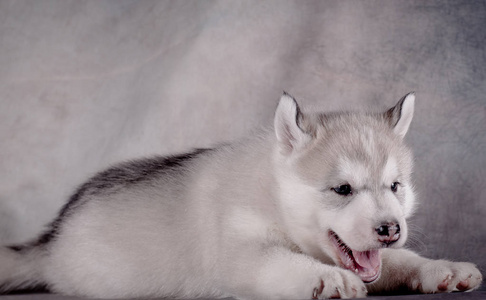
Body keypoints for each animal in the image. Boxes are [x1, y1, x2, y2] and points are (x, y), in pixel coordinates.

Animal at [0, 92, 480, 298]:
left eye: (396, 186)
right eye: (342, 189)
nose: (389, 229)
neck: (274, 196)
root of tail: (50, 240)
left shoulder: (379, 255)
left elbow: (400, 261)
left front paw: (442, 268)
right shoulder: (240, 254)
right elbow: (282, 262)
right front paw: (327, 278)